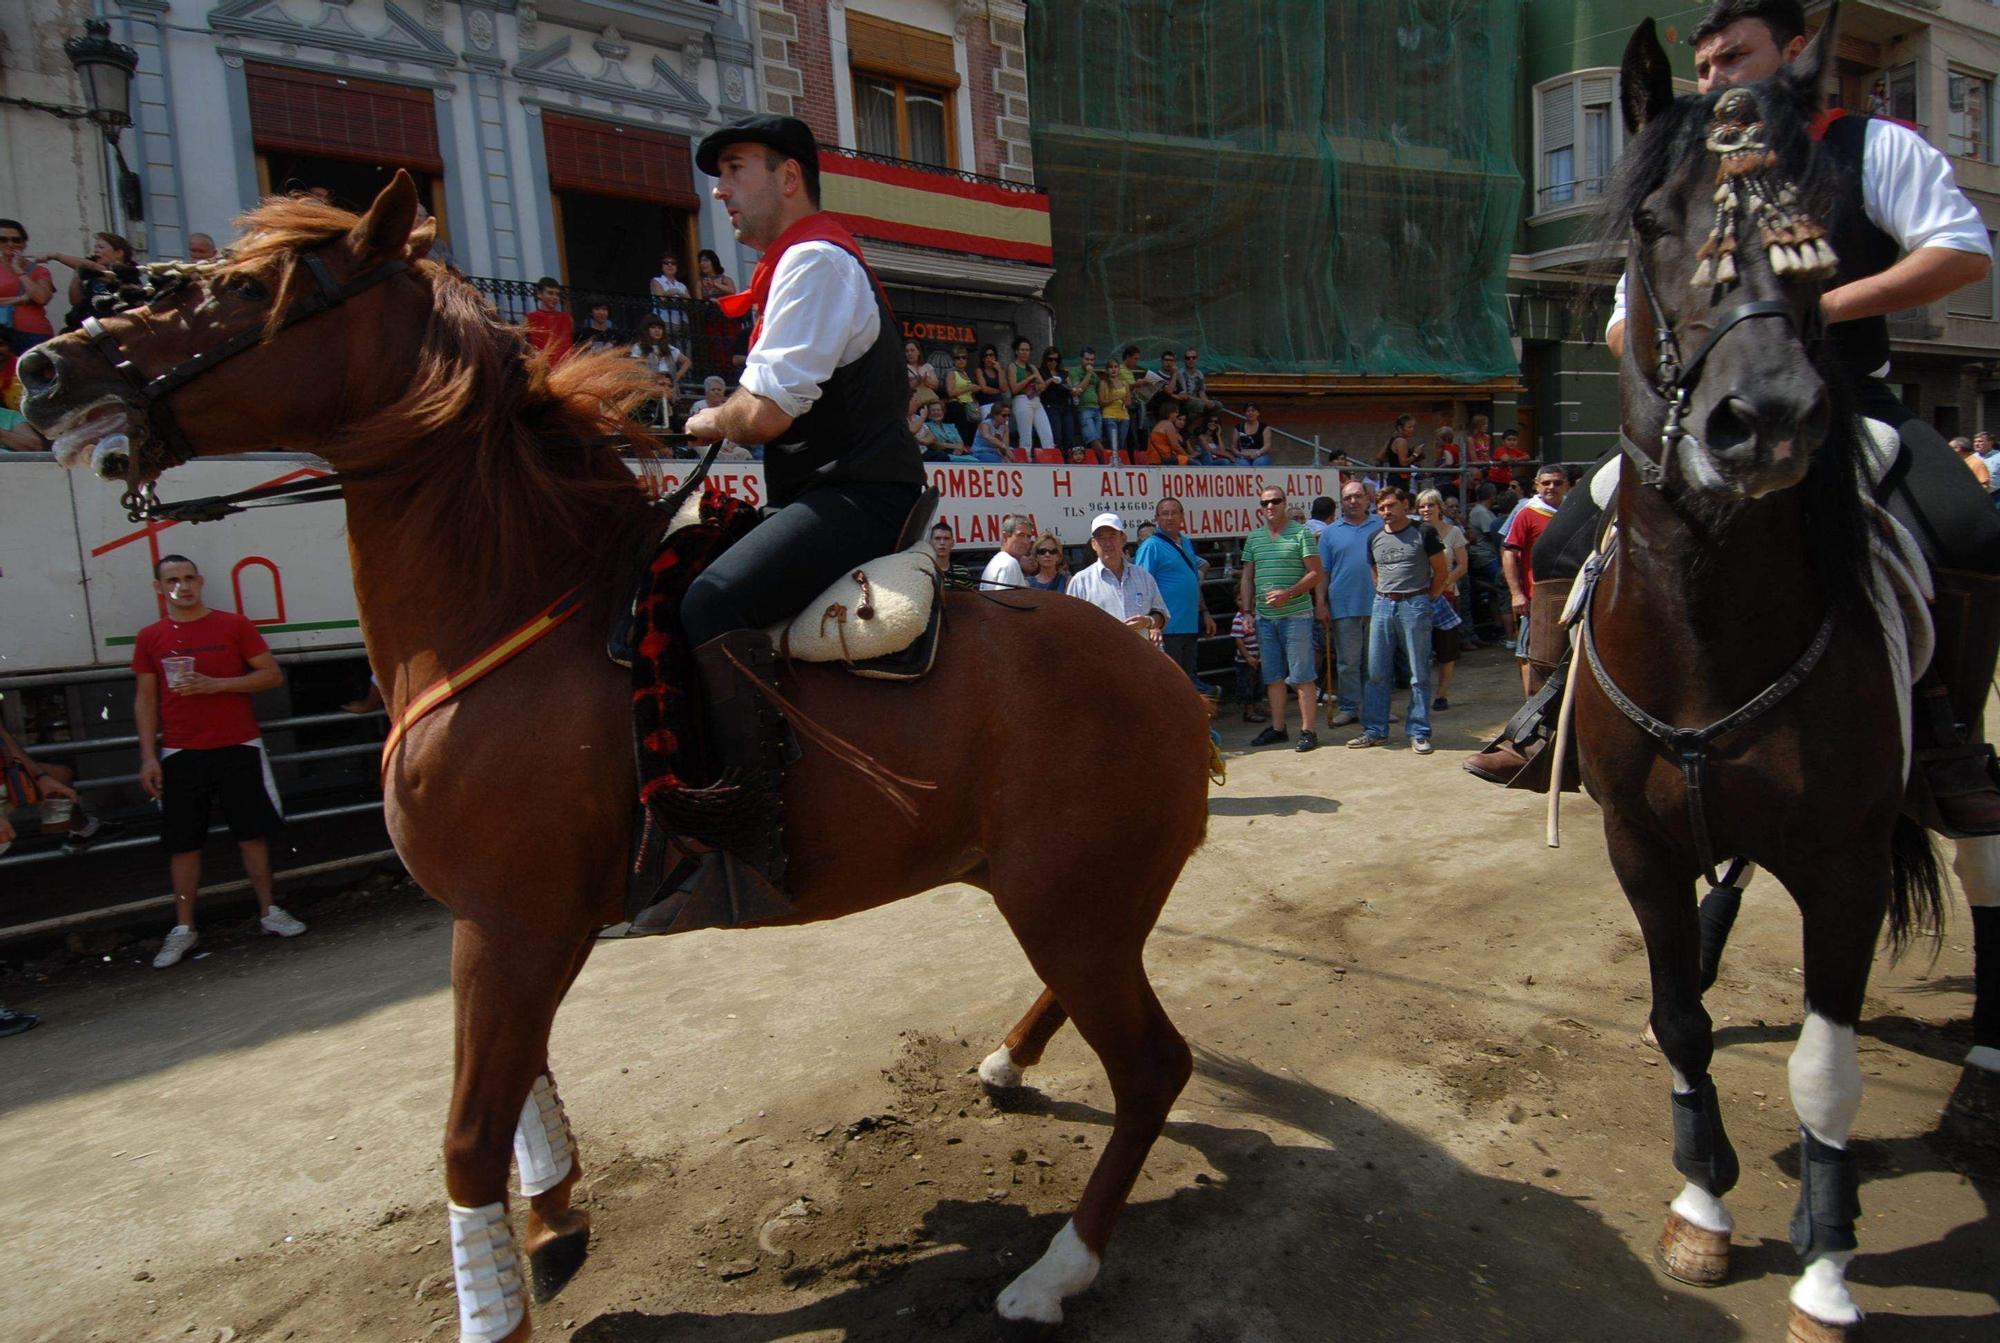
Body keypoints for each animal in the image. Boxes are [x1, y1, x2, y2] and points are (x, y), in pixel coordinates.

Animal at [19, 177, 1200, 1343]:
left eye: (236, 289)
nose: (43, 371)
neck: (514, 601)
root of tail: (1164, 675)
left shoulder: (514, 921)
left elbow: (470, 1132)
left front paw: (498, 1303)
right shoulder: (507, 923)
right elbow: (519, 1089)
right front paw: (552, 1220)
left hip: (1065, 899)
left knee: (1153, 1067)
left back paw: (1055, 1269)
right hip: (1060, 895)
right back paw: (1008, 1063)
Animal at [1576, 23, 1936, 1343]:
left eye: (1815, 228)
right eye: (1651, 223)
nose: (1765, 418)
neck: (1702, 628)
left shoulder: (1841, 861)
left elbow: (1823, 1067)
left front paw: (1824, 1268)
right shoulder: (1635, 839)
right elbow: (1678, 1012)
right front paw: (1701, 1203)